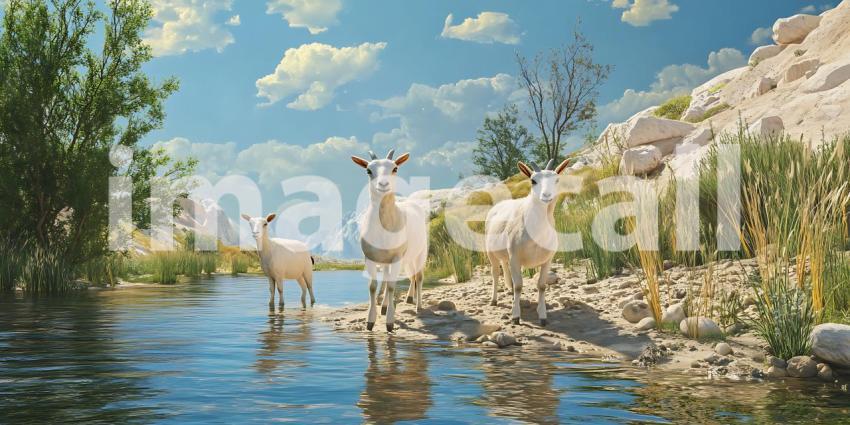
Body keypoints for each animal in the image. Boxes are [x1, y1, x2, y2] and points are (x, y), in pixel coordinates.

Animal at [350, 149, 428, 332]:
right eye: (368, 170)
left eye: (395, 168)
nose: (383, 184)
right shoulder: (370, 257)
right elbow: (372, 286)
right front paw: (370, 321)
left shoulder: (397, 256)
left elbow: (392, 286)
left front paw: (390, 323)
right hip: (388, 259)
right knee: (390, 277)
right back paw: (386, 306)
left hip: (420, 252)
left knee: (419, 276)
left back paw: (418, 306)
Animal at [484, 159, 570, 326]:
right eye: (533, 180)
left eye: (557, 179)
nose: (546, 195)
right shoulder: (515, 257)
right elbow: (519, 286)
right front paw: (515, 316)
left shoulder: (547, 259)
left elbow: (541, 286)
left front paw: (542, 316)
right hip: (490, 251)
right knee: (495, 272)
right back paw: (494, 300)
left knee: (506, 270)